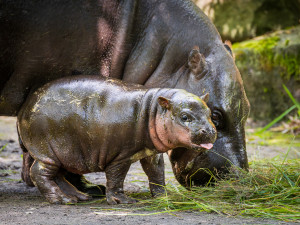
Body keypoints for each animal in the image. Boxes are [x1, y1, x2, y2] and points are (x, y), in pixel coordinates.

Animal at [17, 75, 216, 204]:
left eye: (210, 113)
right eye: (185, 116)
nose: (209, 131)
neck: (152, 111)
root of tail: (24, 109)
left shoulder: (151, 153)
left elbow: (156, 173)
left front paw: (163, 196)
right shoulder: (120, 156)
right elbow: (116, 177)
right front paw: (122, 200)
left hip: (64, 154)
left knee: (57, 176)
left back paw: (79, 197)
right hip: (48, 152)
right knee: (39, 173)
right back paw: (62, 200)